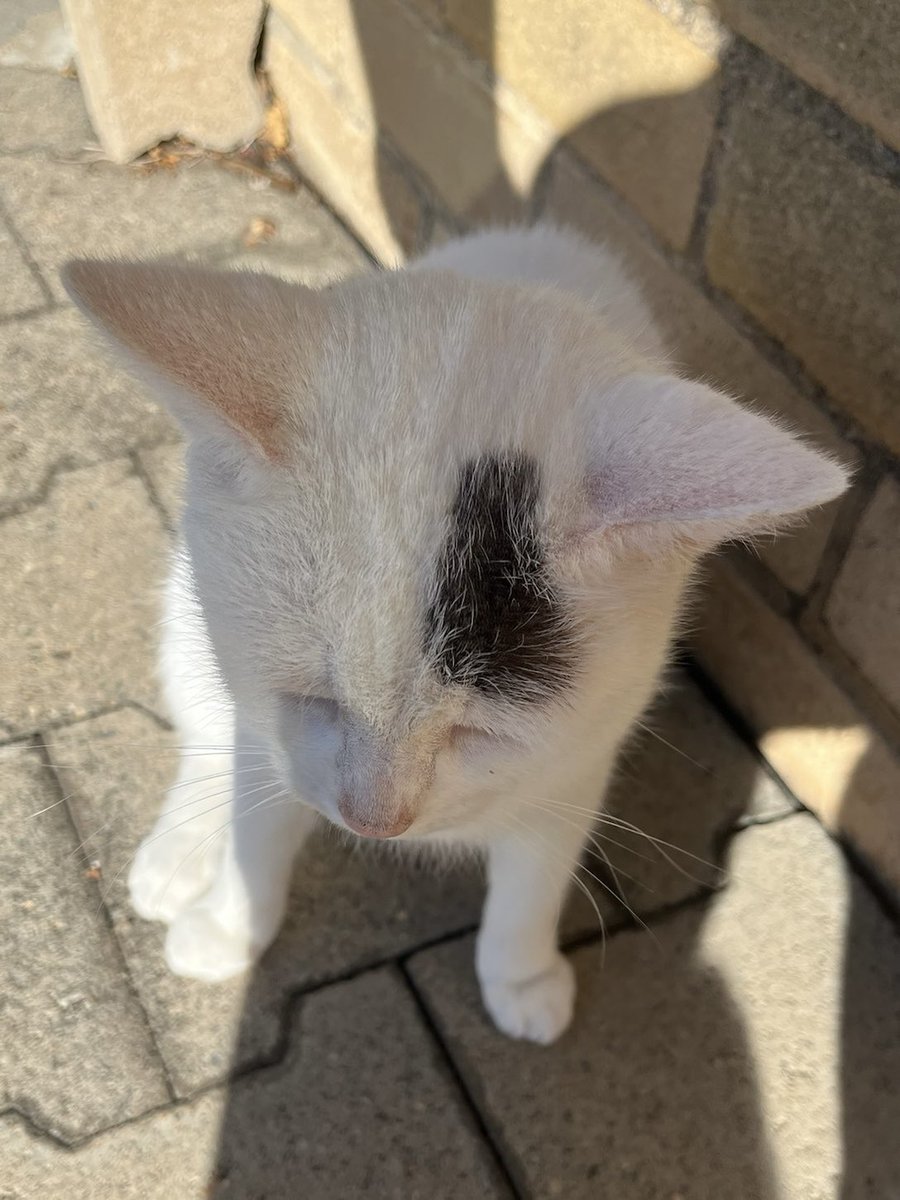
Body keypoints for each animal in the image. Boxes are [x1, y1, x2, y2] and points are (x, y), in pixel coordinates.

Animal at [61, 225, 844, 1041]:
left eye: (482, 730)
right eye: (313, 699)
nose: (376, 821)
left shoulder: (578, 751)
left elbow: (536, 872)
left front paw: (521, 973)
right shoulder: (267, 723)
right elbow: (259, 810)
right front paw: (230, 919)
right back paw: (178, 855)